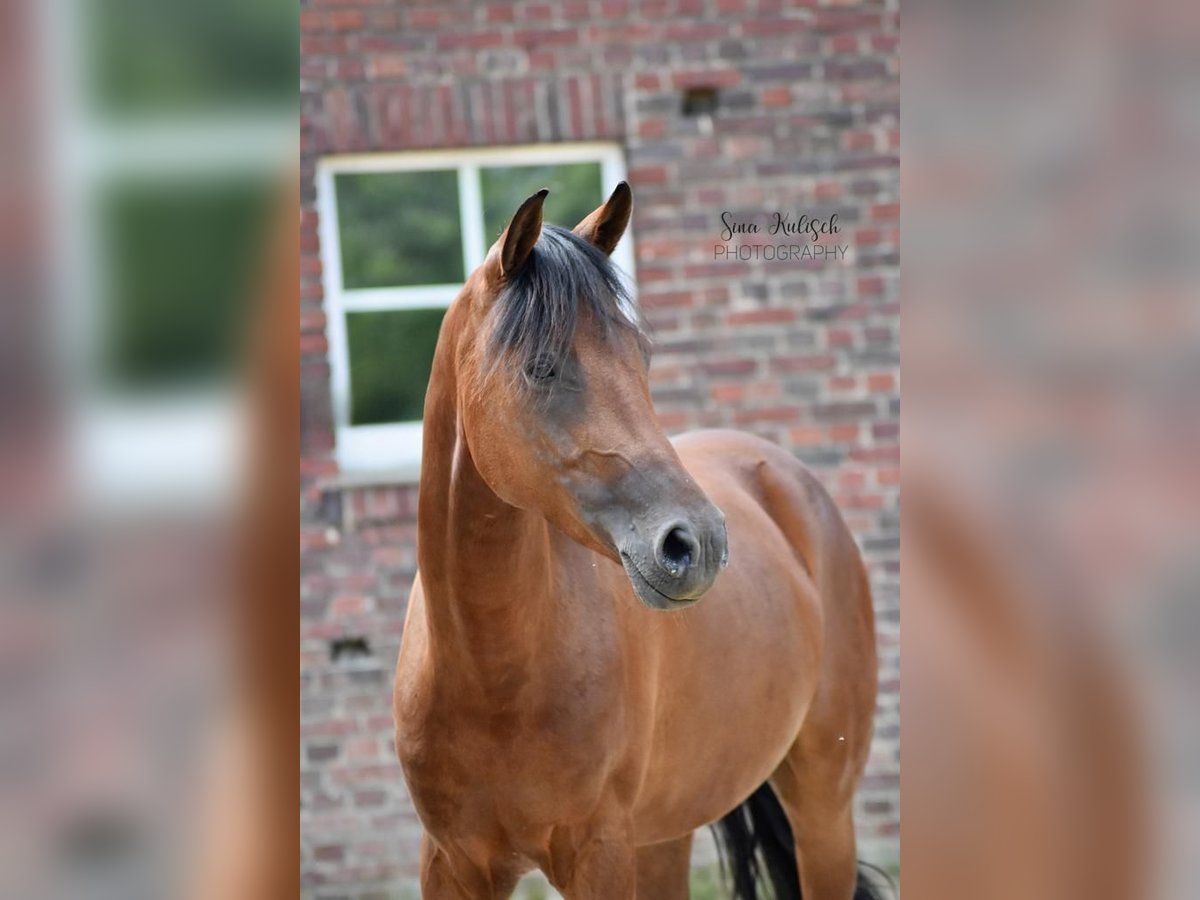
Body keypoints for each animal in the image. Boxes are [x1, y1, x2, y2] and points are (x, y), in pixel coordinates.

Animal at [393, 182, 884, 899]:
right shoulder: (451, 863)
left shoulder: (600, 853)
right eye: (541, 367)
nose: (696, 542)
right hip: (664, 840)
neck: (492, 676)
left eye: (640, 359)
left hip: (823, 813)